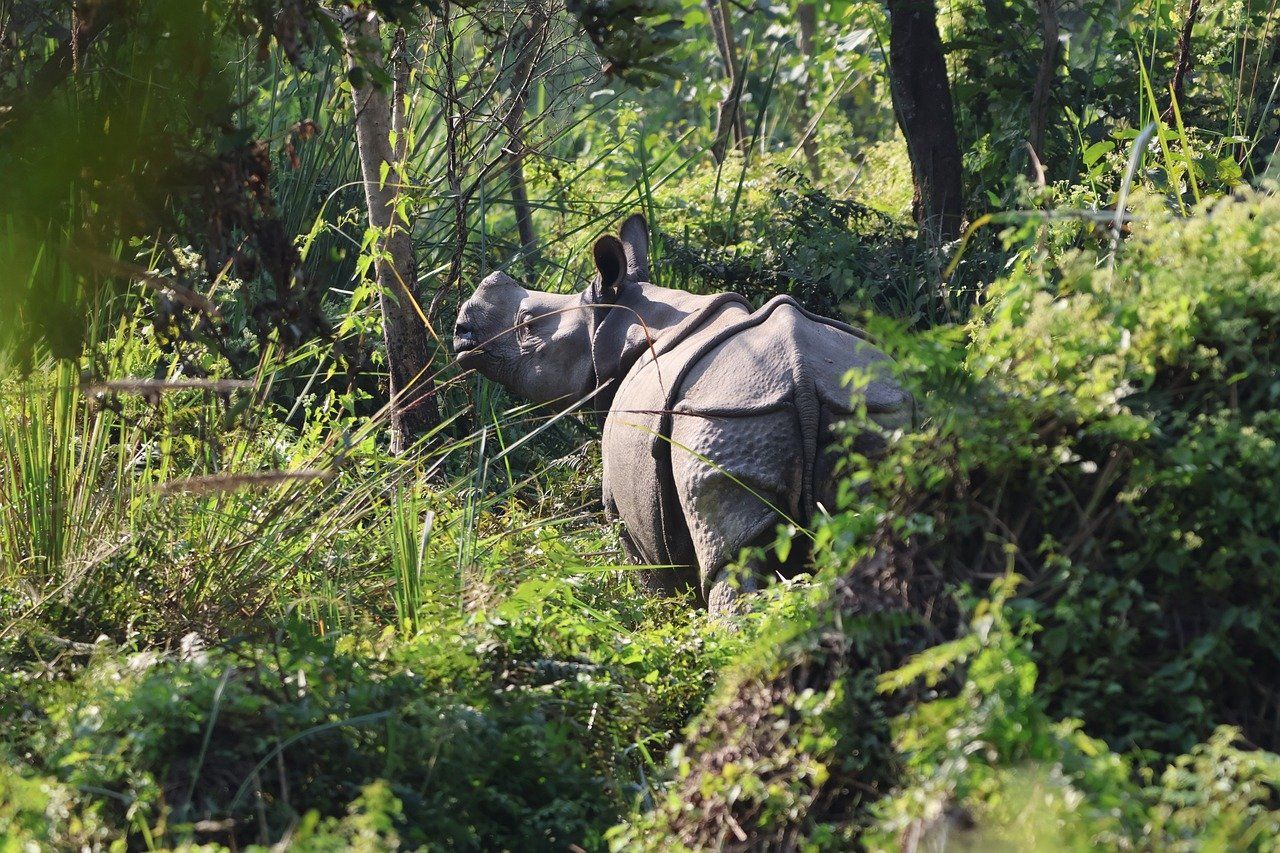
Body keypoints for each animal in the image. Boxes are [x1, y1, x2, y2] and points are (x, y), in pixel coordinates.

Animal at [453, 214, 912, 612]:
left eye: (528, 326)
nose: (461, 333)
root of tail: (801, 377)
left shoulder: (623, 513)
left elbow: (654, 580)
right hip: (872, 410)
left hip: (726, 419)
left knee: (729, 561)